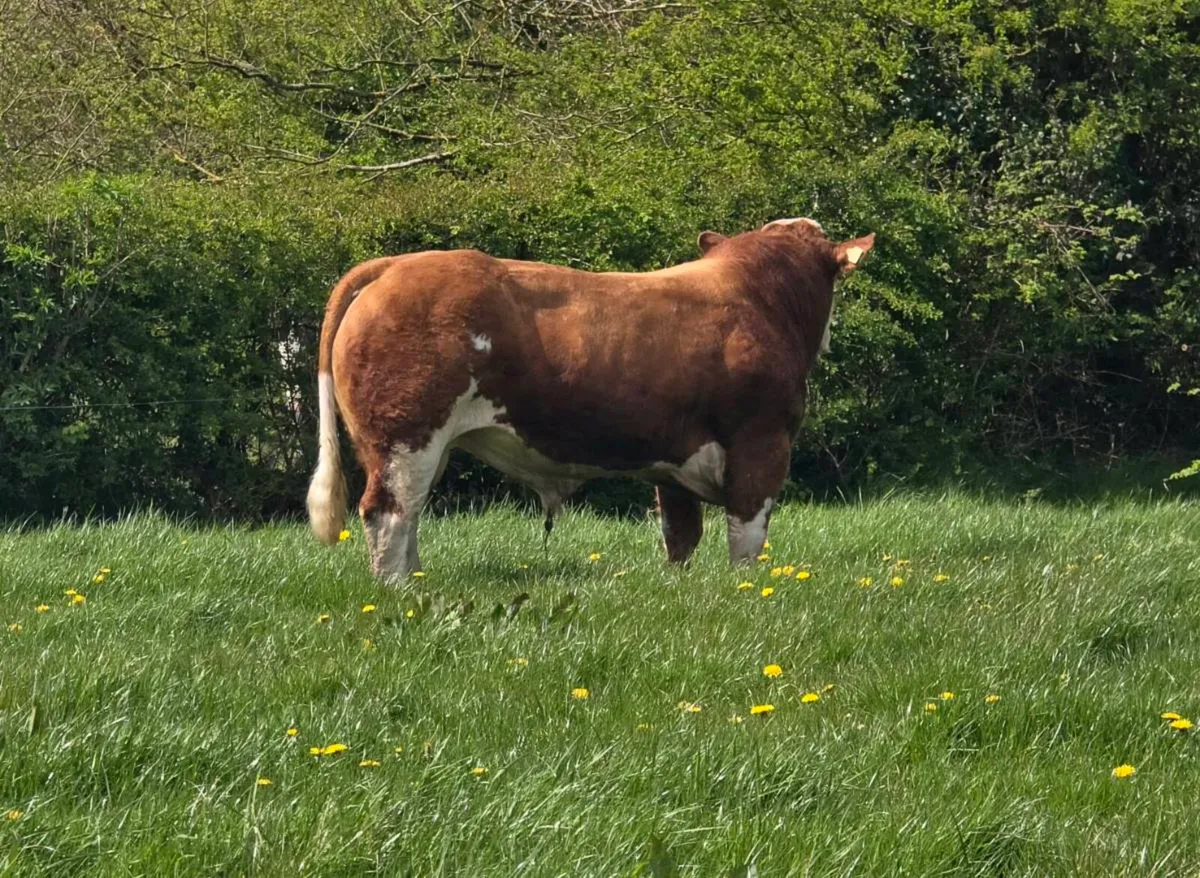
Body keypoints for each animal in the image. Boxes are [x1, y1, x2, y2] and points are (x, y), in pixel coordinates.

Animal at [306, 218, 874, 582]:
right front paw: (746, 591)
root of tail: (395, 265)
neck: (761, 302)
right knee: (388, 513)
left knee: (410, 513)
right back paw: (398, 592)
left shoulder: (674, 463)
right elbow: (747, 537)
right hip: (405, 435)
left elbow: (680, 536)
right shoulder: (762, 443)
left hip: (421, 446)